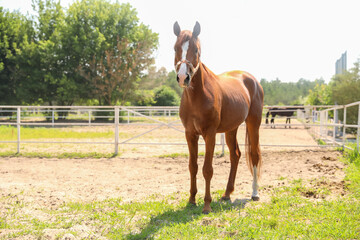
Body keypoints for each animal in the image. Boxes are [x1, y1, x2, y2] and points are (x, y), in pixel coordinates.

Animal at [174, 22, 264, 214]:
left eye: (196, 49)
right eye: (176, 48)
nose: (183, 77)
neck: (198, 97)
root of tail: (251, 79)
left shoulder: (210, 134)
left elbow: (207, 169)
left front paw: (207, 205)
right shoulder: (190, 134)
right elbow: (193, 167)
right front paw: (191, 200)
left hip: (254, 123)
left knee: (254, 155)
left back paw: (254, 193)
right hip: (231, 129)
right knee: (235, 155)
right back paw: (227, 194)